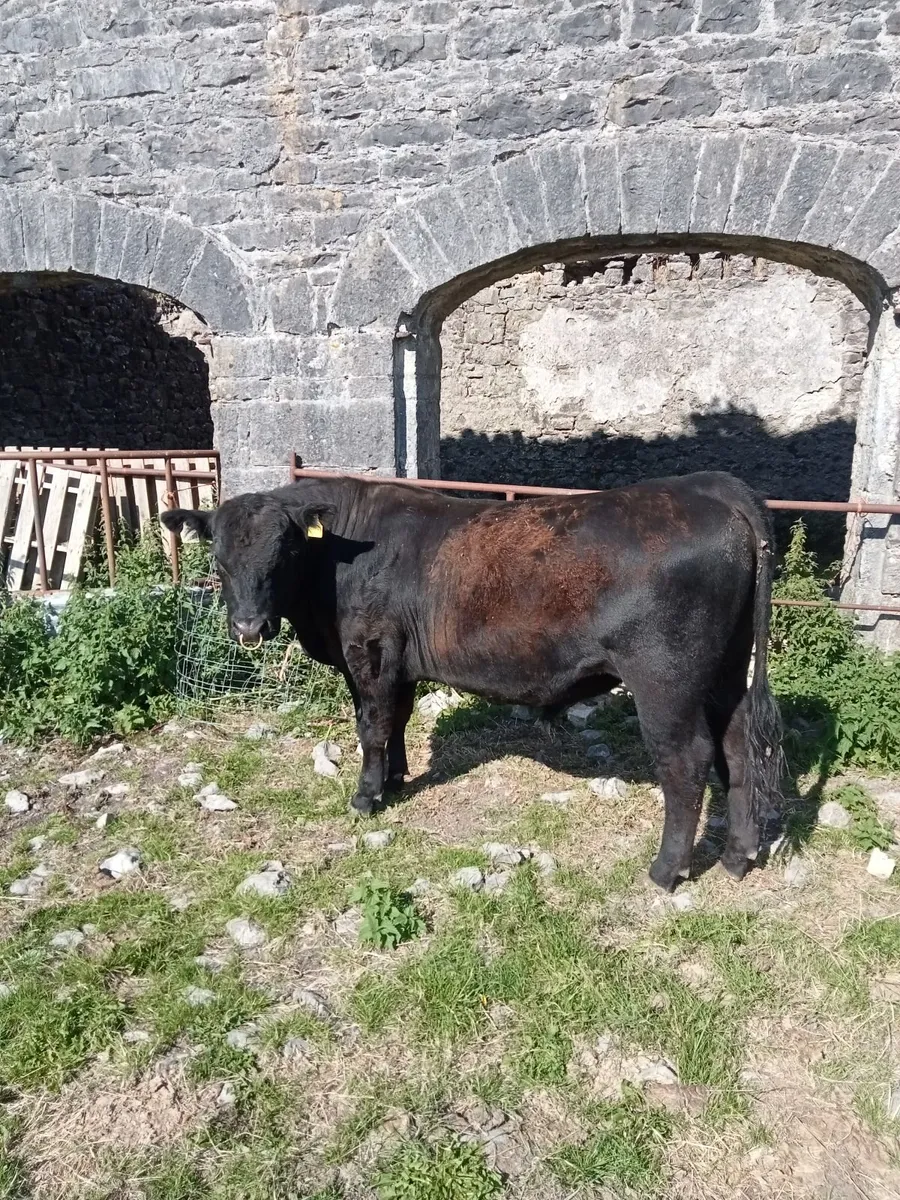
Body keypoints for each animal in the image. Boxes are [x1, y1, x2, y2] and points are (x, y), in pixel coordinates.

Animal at [161, 470, 782, 892]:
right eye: (219, 560)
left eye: (284, 552)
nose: (248, 628)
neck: (339, 555)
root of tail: (707, 488)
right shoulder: (399, 662)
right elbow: (397, 721)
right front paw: (396, 778)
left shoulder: (371, 653)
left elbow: (372, 726)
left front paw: (365, 796)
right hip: (727, 671)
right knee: (737, 747)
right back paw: (738, 856)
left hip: (664, 681)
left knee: (688, 759)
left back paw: (665, 869)